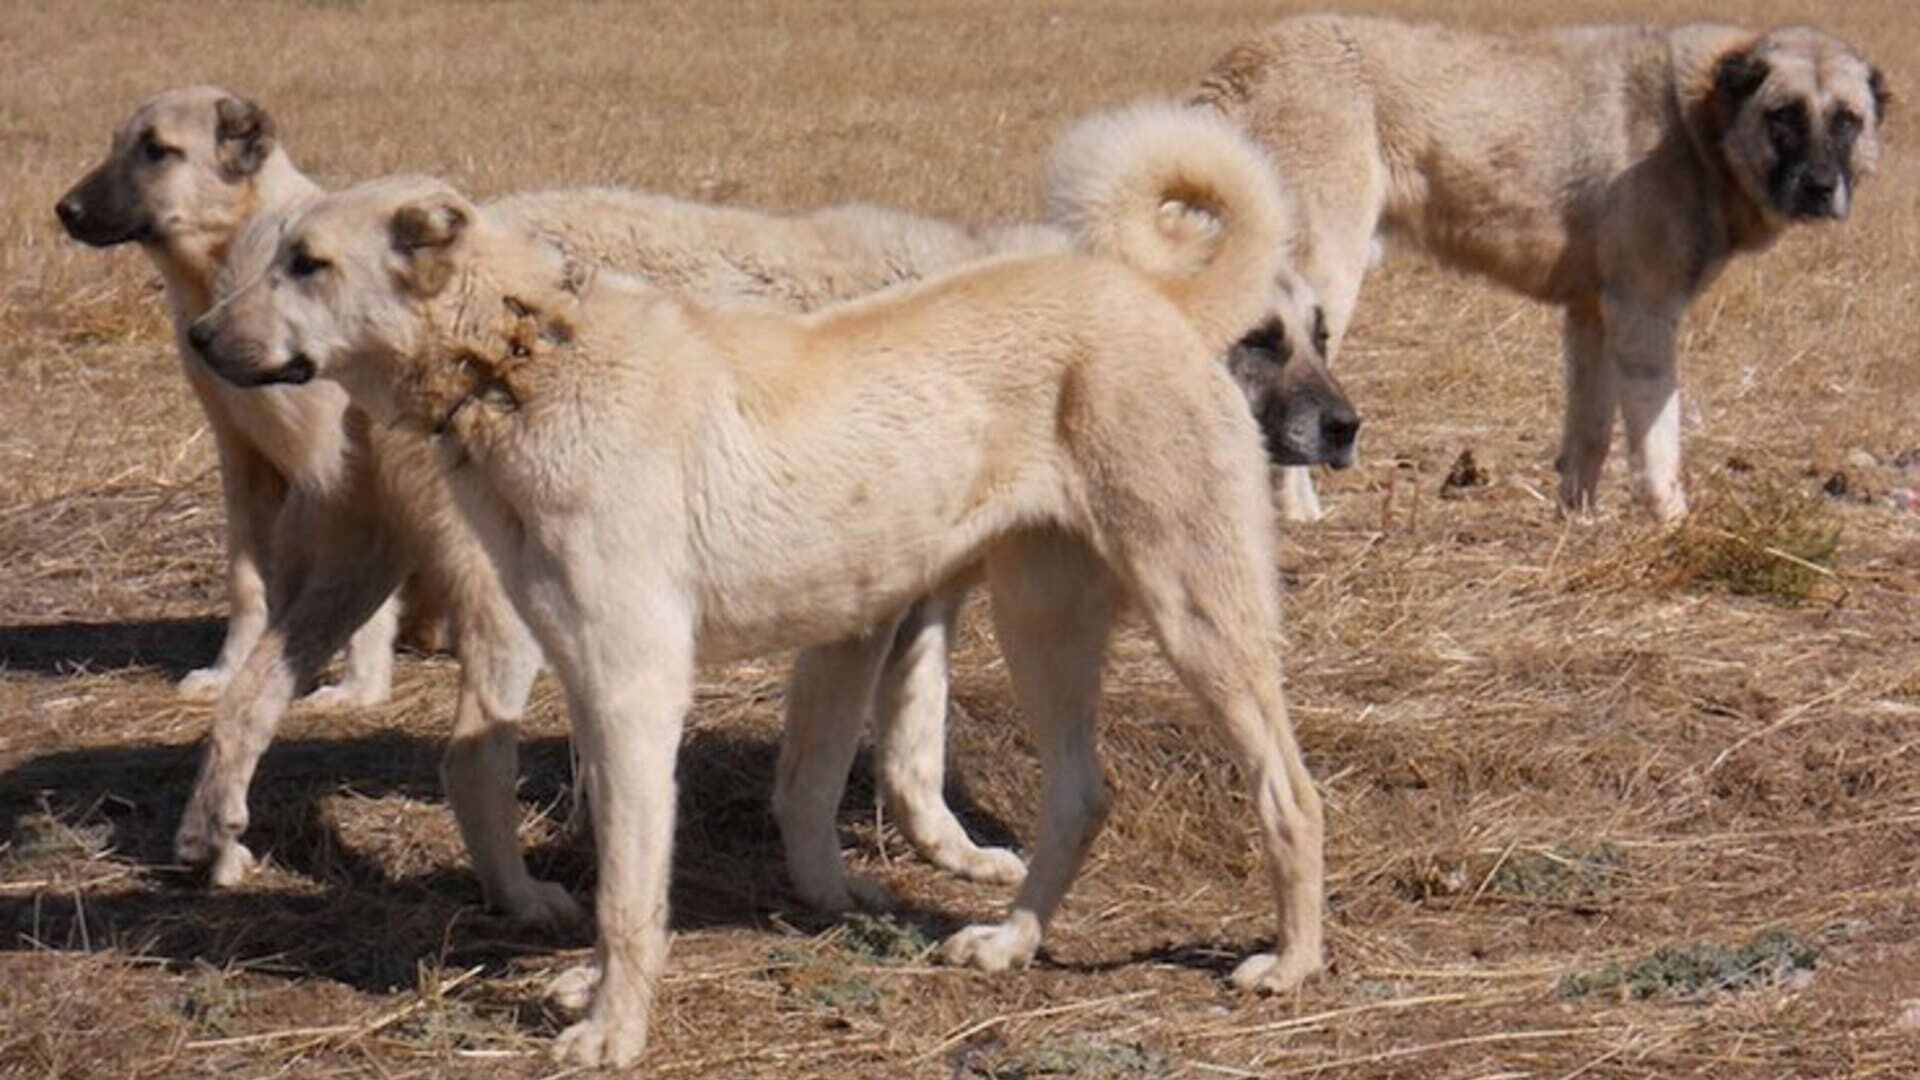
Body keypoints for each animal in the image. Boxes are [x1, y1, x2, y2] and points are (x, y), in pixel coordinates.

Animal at [198, 105, 1336, 1060]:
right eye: (278, 257)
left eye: (308, 263)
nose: (202, 339)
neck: (525, 358)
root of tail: (1155, 295)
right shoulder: (599, 683)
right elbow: (633, 857)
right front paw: (592, 988)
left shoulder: (639, 688)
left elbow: (631, 893)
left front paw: (612, 1029)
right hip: (1039, 625)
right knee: (1080, 794)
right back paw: (1010, 942)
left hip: (1196, 618)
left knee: (1290, 792)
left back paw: (1290, 964)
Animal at [1198, 15, 1889, 522]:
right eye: (1784, 115)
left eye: (1848, 121)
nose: (1820, 186)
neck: (1699, 124)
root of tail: (1238, 67)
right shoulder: (1644, 316)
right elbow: (1658, 440)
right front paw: (1673, 524)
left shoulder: (1593, 317)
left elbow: (1590, 434)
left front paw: (1576, 523)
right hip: (1324, 284)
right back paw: (1301, 514)